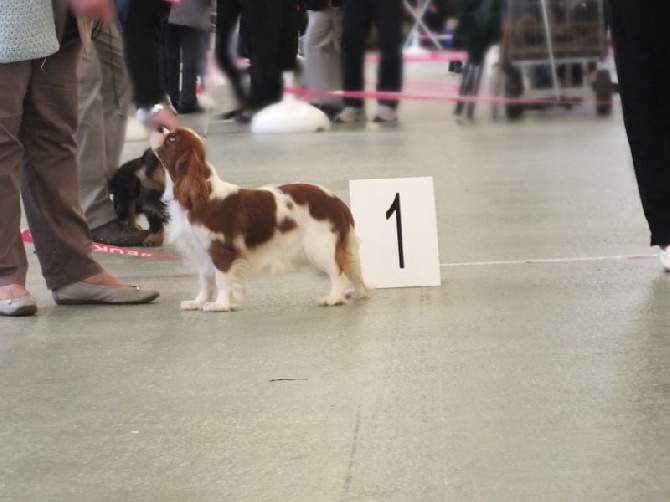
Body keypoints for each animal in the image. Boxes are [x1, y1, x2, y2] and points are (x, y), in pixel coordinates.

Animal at [151, 127, 372, 312]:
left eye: (172, 138)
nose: (159, 127)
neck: (203, 195)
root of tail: (336, 201)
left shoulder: (220, 250)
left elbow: (222, 279)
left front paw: (220, 304)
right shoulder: (202, 251)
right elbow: (206, 280)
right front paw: (198, 302)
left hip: (319, 248)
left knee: (338, 272)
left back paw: (334, 298)